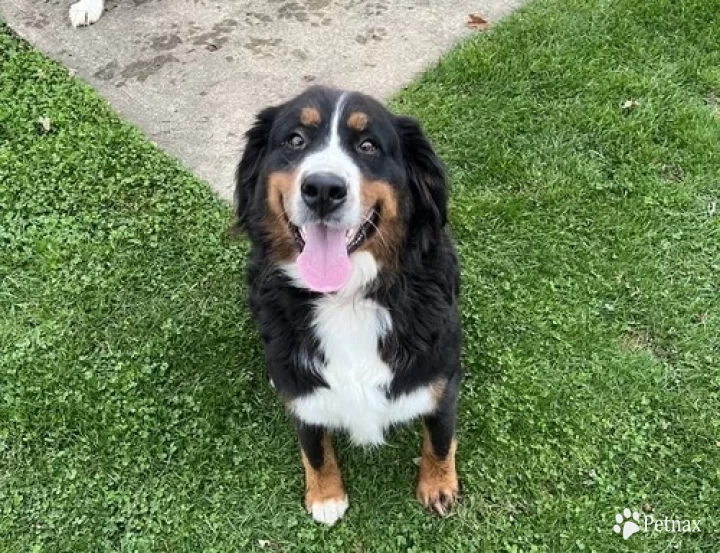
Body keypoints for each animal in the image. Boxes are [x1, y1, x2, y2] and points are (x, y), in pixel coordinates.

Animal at [233, 85, 464, 520]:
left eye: (368, 146)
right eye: (295, 140)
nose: (323, 188)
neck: (345, 299)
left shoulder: (441, 378)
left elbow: (440, 438)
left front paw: (439, 485)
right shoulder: (302, 393)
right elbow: (313, 446)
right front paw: (325, 495)